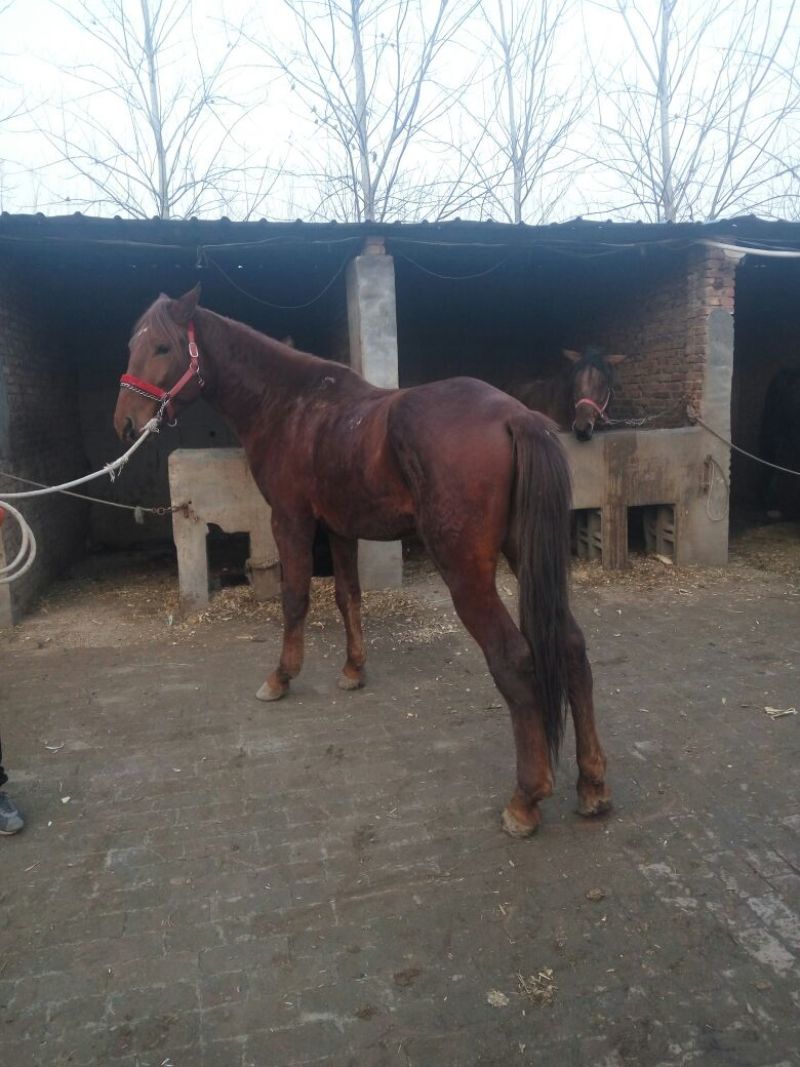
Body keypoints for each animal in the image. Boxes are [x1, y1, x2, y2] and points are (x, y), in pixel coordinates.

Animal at [114, 286, 611, 838]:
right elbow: (347, 595)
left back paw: (525, 799)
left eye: (161, 347)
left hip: (467, 572)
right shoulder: (339, 528)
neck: (291, 405)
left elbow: (295, 598)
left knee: (514, 658)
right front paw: (353, 670)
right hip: (522, 554)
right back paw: (592, 785)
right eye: (133, 344)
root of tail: (513, 416)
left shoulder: (291, 520)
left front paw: (281, 677)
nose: (125, 422)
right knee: (571, 645)